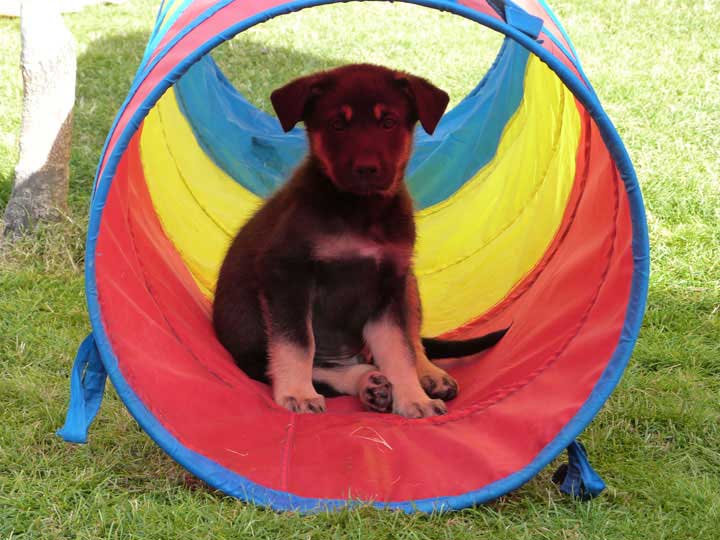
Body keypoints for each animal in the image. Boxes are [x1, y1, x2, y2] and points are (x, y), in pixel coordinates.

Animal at [212, 63, 506, 418]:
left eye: (388, 122)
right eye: (337, 124)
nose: (367, 169)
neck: (362, 211)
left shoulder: (388, 286)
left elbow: (399, 350)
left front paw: (414, 399)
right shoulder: (287, 274)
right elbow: (298, 343)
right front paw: (297, 393)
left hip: (408, 284)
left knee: (411, 340)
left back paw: (426, 376)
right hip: (252, 351)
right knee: (325, 368)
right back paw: (368, 383)